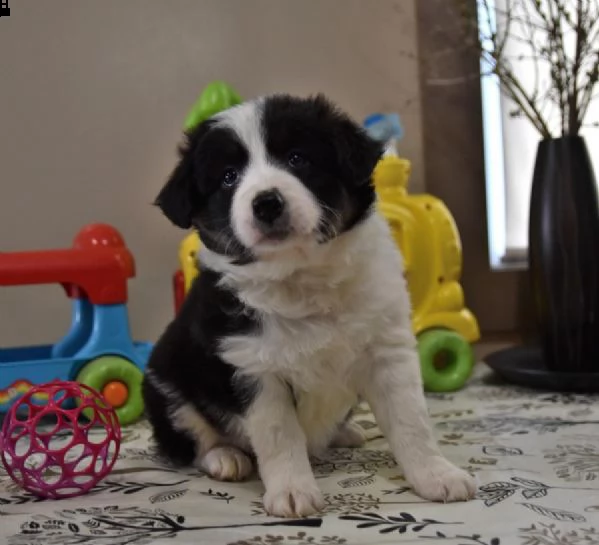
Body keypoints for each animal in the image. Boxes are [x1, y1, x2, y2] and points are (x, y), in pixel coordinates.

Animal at [143, 95, 476, 516]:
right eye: (228, 177)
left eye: (298, 158)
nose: (267, 203)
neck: (302, 277)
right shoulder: (254, 368)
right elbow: (279, 435)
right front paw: (292, 491)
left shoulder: (388, 349)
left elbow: (412, 420)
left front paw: (436, 475)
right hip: (165, 380)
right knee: (191, 438)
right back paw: (225, 458)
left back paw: (345, 431)